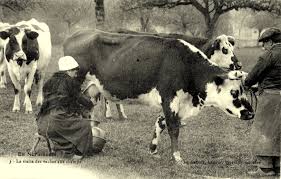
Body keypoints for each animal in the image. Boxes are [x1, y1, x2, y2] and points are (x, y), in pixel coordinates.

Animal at [63, 29, 254, 165]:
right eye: (234, 92)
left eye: (244, 90)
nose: (251, 113)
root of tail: (78, 33)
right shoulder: (169, 97)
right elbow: (173, 128)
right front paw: (177, 158)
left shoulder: (173, 101)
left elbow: (161, 123)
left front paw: (153, 149)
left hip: (92, 89)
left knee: (86, 110)